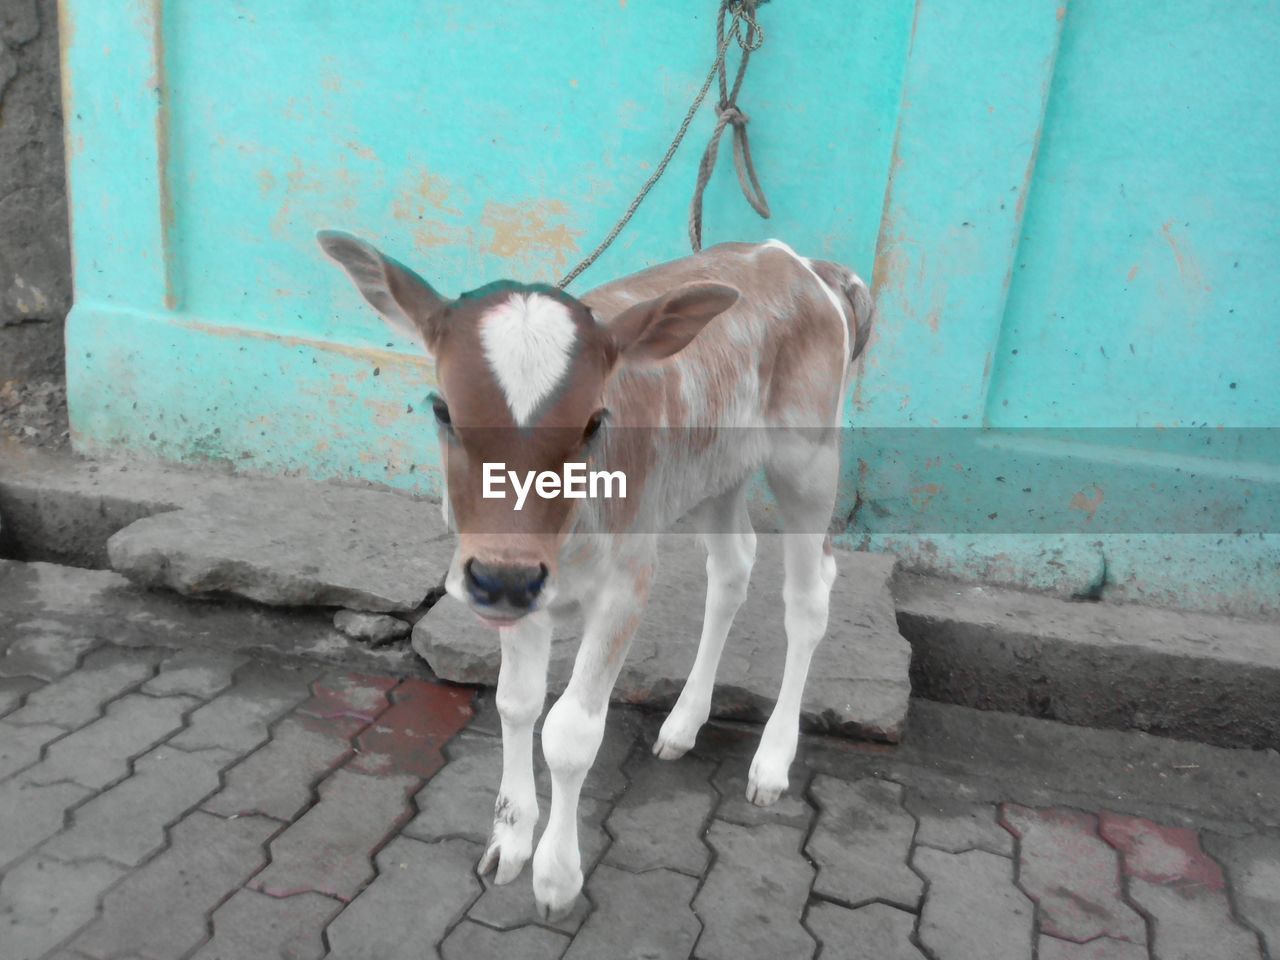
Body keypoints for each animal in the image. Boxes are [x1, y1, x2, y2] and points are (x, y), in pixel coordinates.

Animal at [322, 231, 870, 916]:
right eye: (443, 409)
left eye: (592, 422)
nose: (502, 577)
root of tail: (797, 260)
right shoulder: (514, 586)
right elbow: (516, 704)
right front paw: (510, 839)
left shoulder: (625, 580)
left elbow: (570, 732)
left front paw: (557, 878)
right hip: (713, 467)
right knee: (733, 565)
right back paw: (683, 723)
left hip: (809, 457)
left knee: (808, 596)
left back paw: (771, 760)